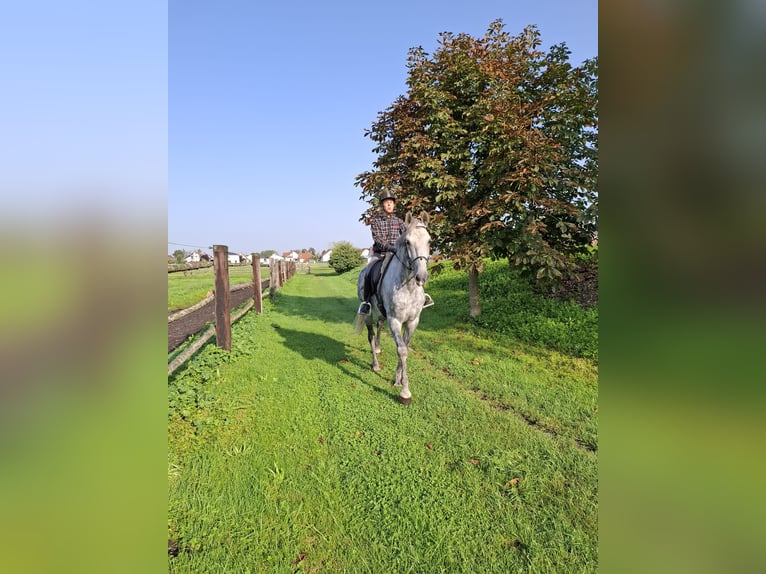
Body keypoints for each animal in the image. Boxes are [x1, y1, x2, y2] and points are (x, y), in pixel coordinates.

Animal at [356, 212, 432, 404]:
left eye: (429, 241)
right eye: (408, 242)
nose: (421, 277)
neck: (408, 286)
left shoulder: (412, 321)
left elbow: (404, 346)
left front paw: (397, 379)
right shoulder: (395, 320)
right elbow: (402, 350)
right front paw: (405, 391)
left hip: (382, 315)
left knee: (379, 326)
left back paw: (378, 348)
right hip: (368, 313)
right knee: (370, 335)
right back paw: (375, 364)